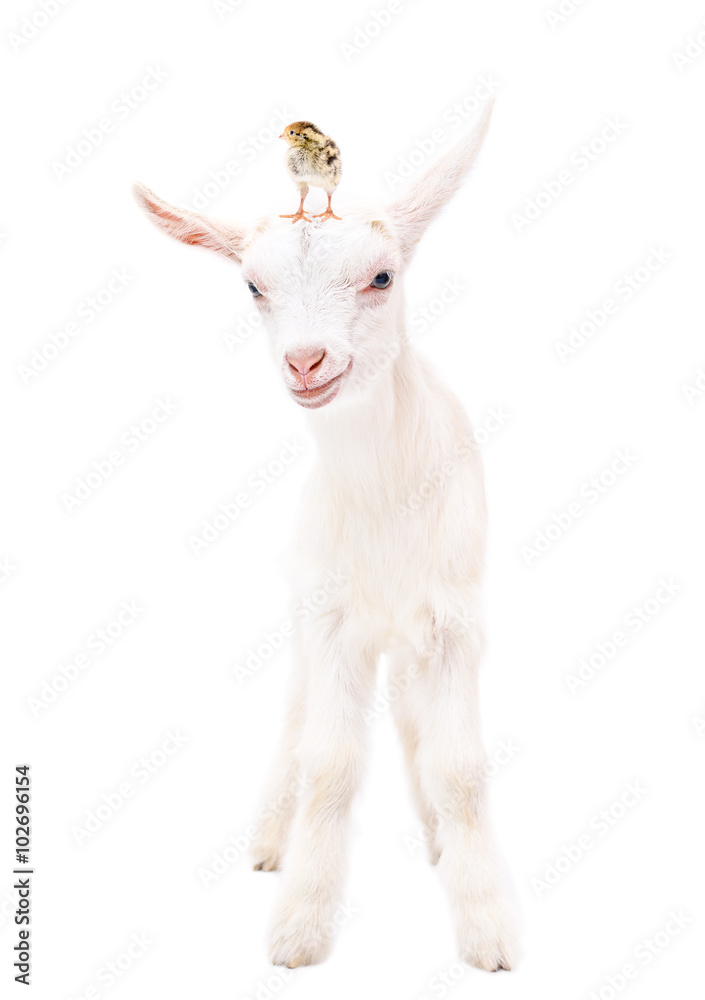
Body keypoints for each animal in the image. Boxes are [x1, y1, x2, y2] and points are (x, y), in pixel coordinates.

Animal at [133, 99, 516, 968]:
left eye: (381, 276)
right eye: (252, 285)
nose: (306, 362)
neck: (384, 506)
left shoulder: (455, 620)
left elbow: (458, 768)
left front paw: (487, 930)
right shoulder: (331, 616)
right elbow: (330, 765)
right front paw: (299, 928)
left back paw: (433, 839)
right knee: (296, 719)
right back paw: (271, 841)